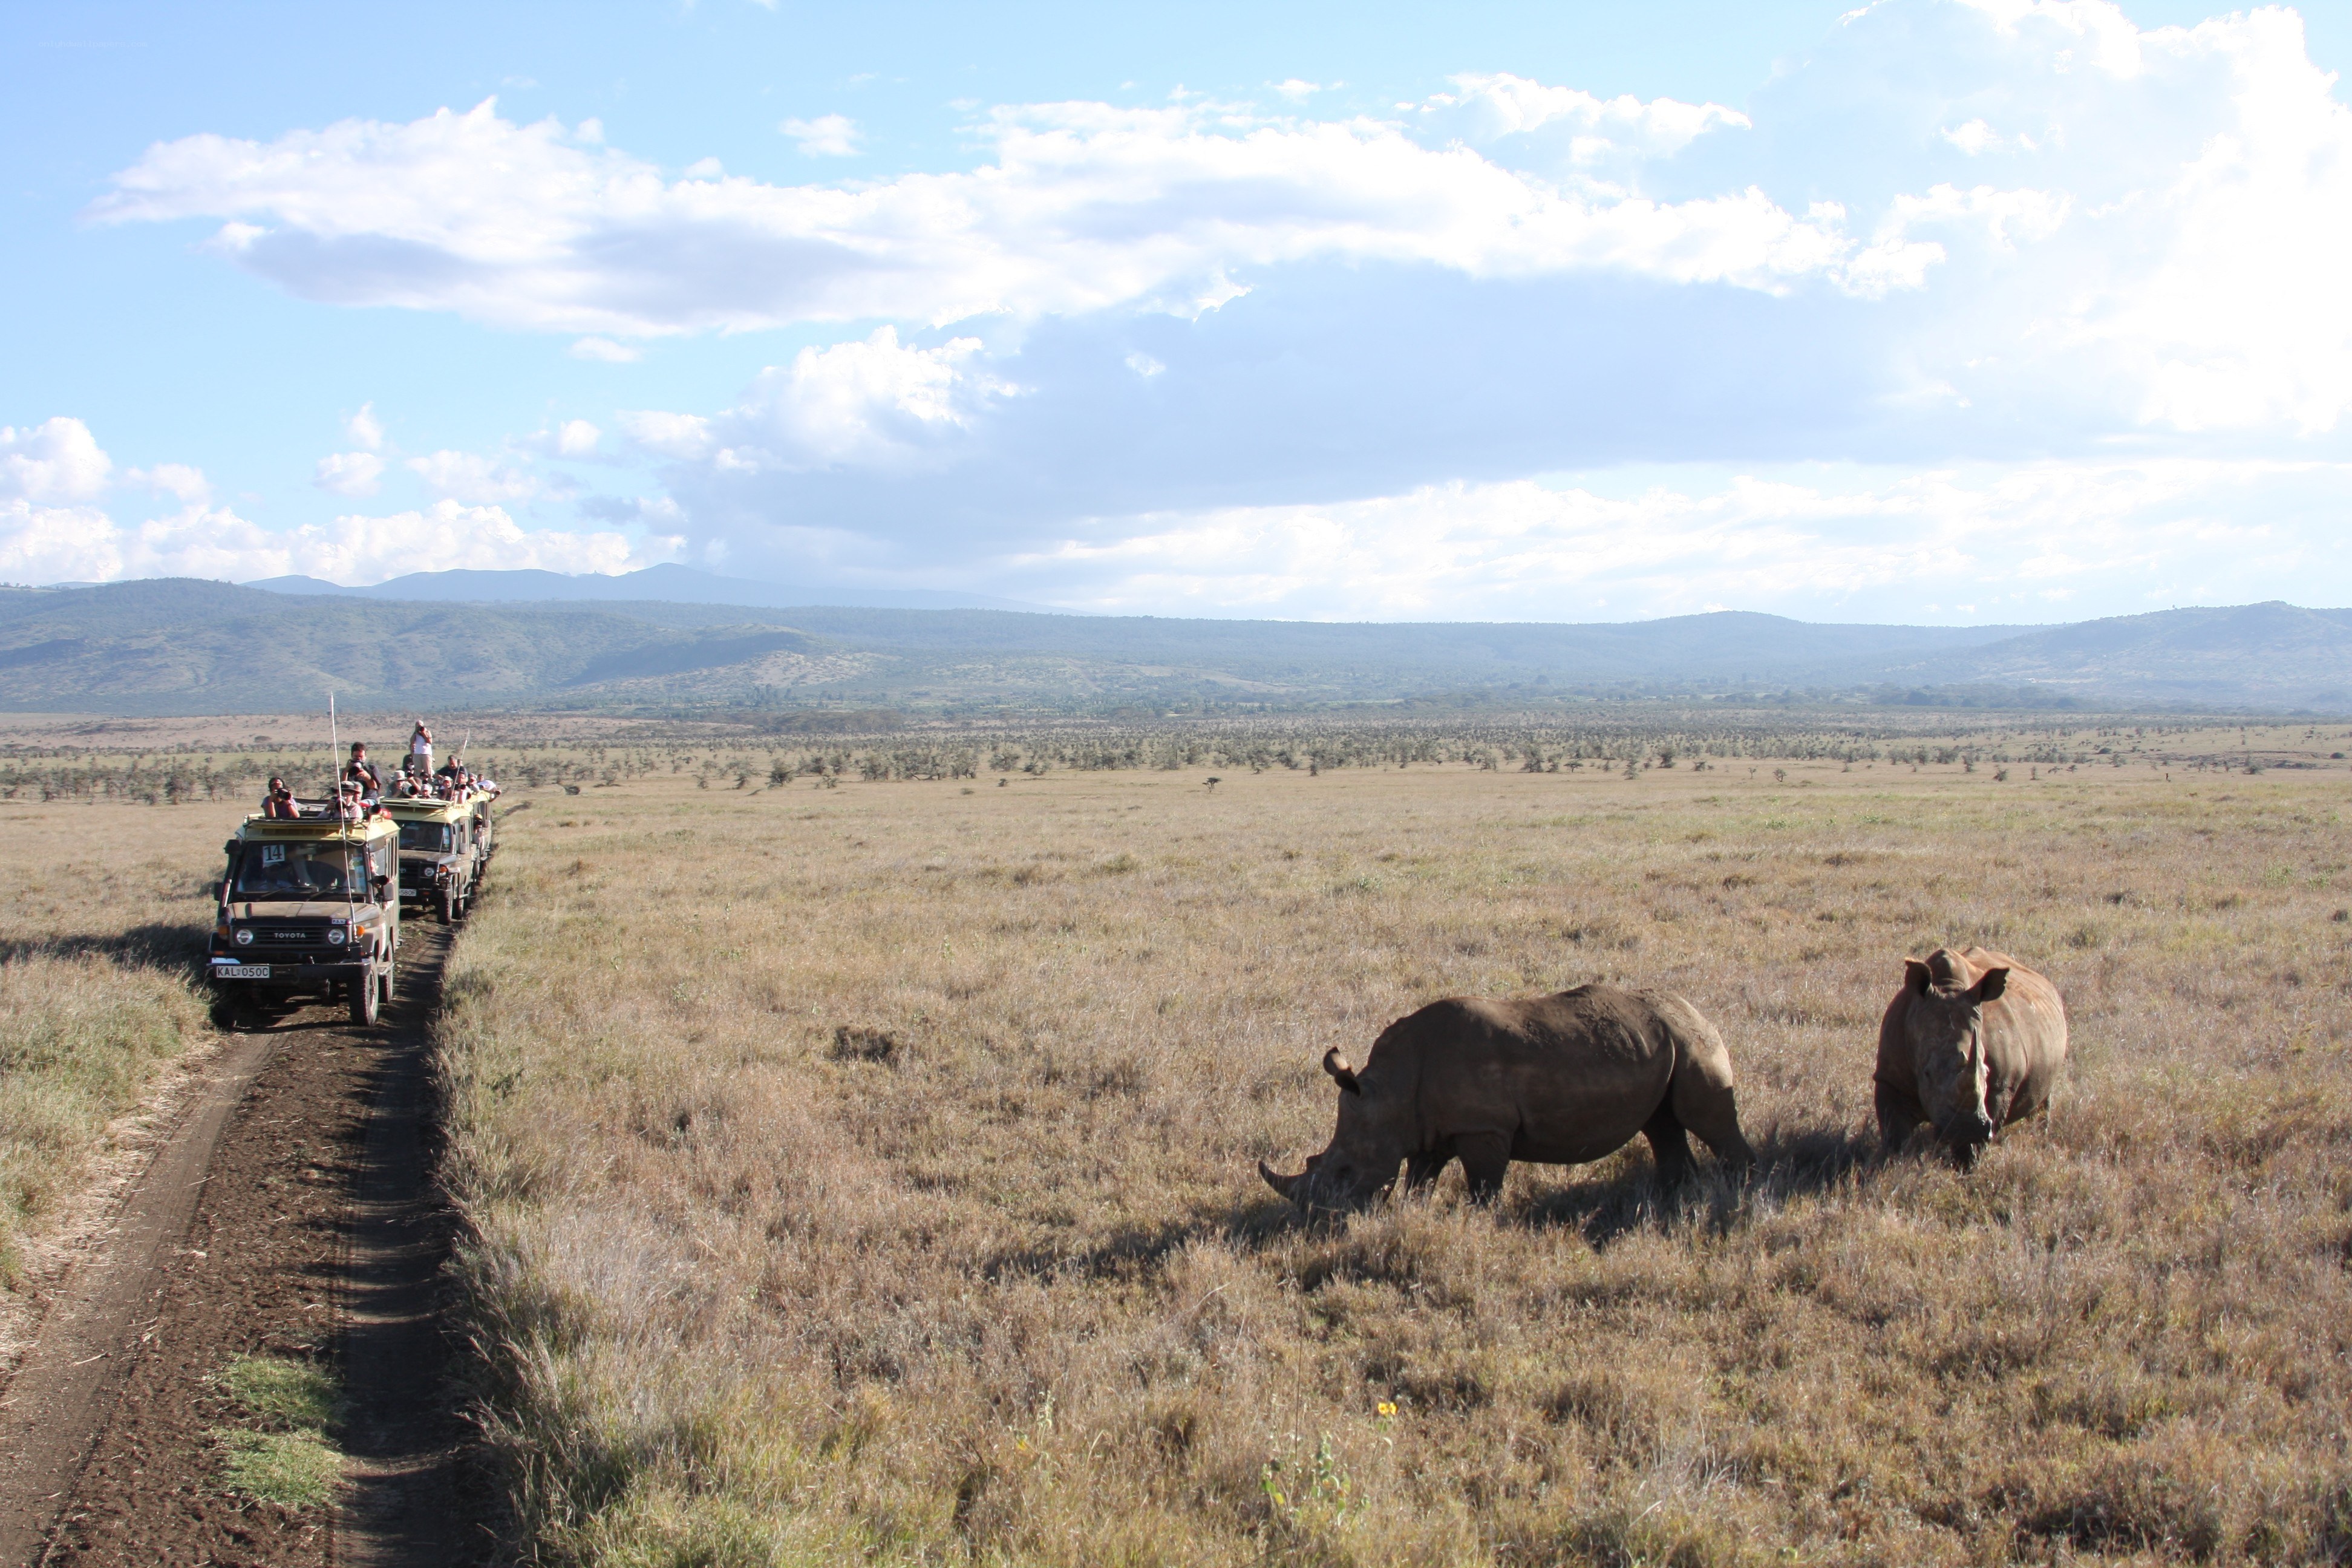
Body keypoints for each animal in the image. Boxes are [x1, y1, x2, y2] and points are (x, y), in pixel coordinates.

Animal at [1258, 983, 1754, 1210]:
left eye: (1344, 1172)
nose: (1320, 1215)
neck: (1390, 1091)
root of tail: (1697, 1010)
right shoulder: (1428, 1129)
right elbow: (1420, 1179)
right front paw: (1414, 1212)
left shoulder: (1484, 1128)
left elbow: (1483, 1186)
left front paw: (1480, 1221)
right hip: (1664, 1043)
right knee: (1663, 1125)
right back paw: (1672, 1197)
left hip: (1693, 1042)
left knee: (1705, 1119)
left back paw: (1740, 1190)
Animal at [1874, 945, 2068, 1168]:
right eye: (1927, 1074)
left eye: (1987, 1071)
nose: (1967, 1128)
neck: (1947, 988)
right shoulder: (1890, 1078)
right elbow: (1895, 1135)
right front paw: (1892, 1166)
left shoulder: (2001, 1085)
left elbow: (1974, 1142)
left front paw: (1966, 1167)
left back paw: (2039, 1135)